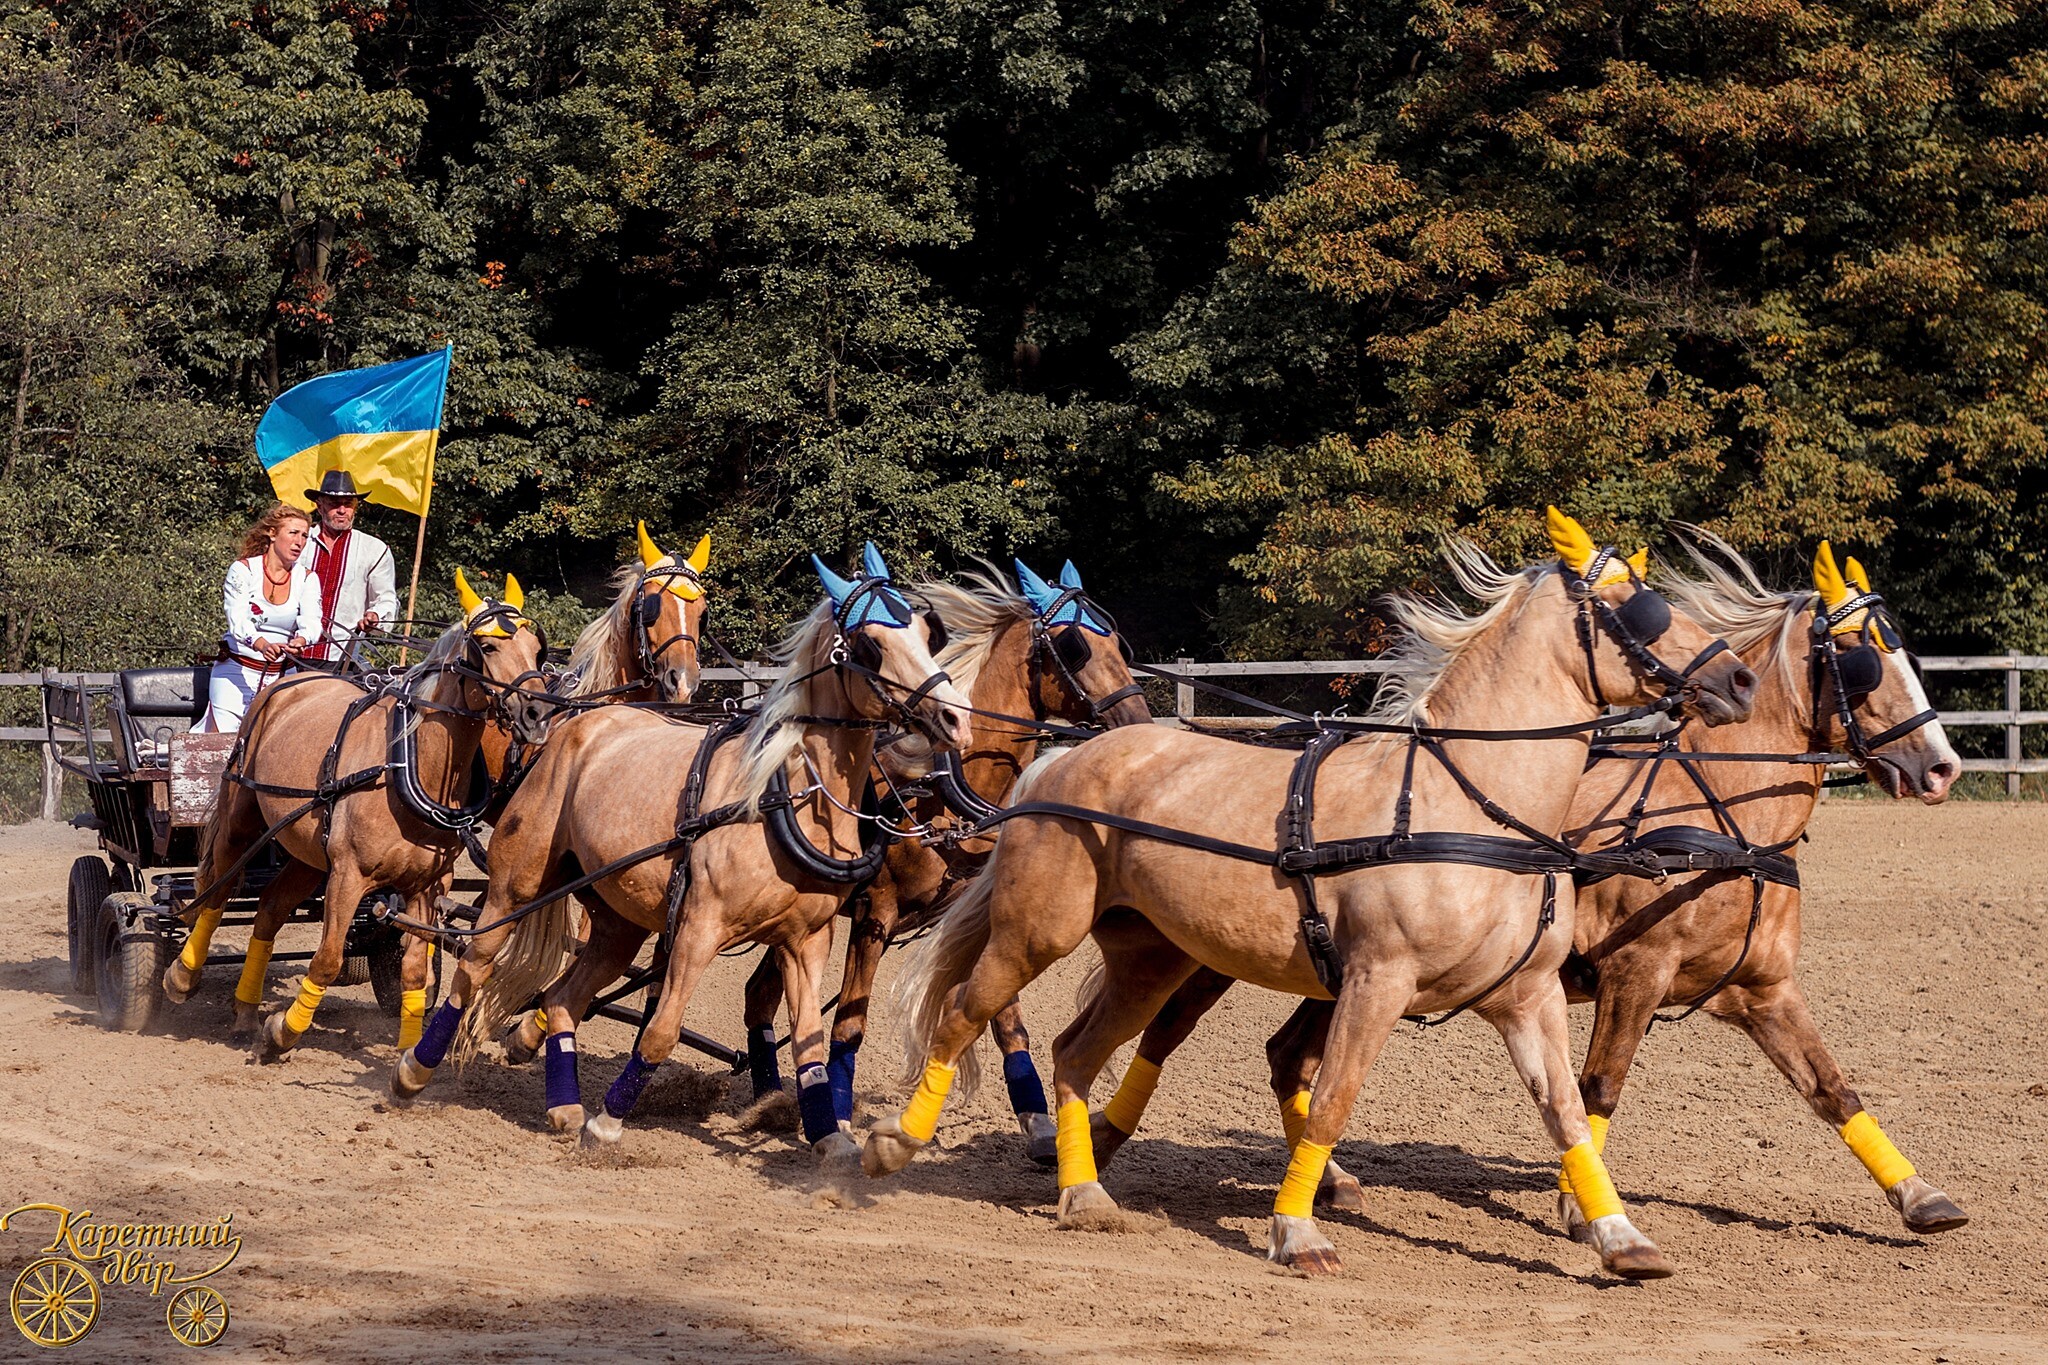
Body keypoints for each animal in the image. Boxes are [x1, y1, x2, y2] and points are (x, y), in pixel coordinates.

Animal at [162, 573, 552, 1064]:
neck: (408, 765)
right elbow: (327, 960)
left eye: (536, 648)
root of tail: (291, 678)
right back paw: (182, 977)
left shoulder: (428, 887)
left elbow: (414, 973)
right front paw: (282, 1033)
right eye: (487, 645)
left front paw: (406, 1053)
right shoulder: (348, 876)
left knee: (268, 910)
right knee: (217, 892)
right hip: (242, 816)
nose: (537, 713)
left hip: (305, 853)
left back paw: (246, 1011)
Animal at [405, 548, 974, 1162]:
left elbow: (811, 1045)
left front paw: (831, 1136)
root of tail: (575, 725)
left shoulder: (808, 941)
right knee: (474, 962)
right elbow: (661, 1029)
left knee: (563, 995)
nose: (956, 716)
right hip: (517, 882)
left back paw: (562, 1104)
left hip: (619, 918)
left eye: (928, 633)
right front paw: (608, 1125)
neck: (783, 796)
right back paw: (414, 1068)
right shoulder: (700, 928)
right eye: (870, 643)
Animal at [733, 560, 1155, 1162]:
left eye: (1117, 641)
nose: (1138, 719)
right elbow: (848, 1025)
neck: (935, 789)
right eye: (1073, 645)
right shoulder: (874, 917)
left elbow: (1008, 1022)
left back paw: (769, 1098)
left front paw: (1037, 1124)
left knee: (760, 996)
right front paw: (841, 1119)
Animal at [872, 511, 1753, 1285]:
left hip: (1149, 960)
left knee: (1075, 1052)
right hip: (1035, 934)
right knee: (962, 1016)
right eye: (1635, 606)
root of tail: (1056, 765)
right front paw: (1297, 1232)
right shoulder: (1375, 982)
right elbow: (1332, 1100)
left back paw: (1083, 1192)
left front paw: (1621, 1236)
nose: (1736, 677)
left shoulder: (1528, 995)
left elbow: (1568, 1112)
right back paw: (892, 1144)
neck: (1465, 804)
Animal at [1089, 532, 1966, 1252]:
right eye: (1864, 659)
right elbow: (1599, 1087)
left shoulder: (1764, 988)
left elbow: (1832, 1087)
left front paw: (1921, 1196)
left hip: (1327, 970)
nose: (1941, 766)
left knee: (1285, 1054)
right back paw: (1097, 1141)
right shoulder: (1634, 973)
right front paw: (1582, 1206)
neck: (1716, 815)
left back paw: (1327, 1180)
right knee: (1166, 1031)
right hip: (1215, 950)